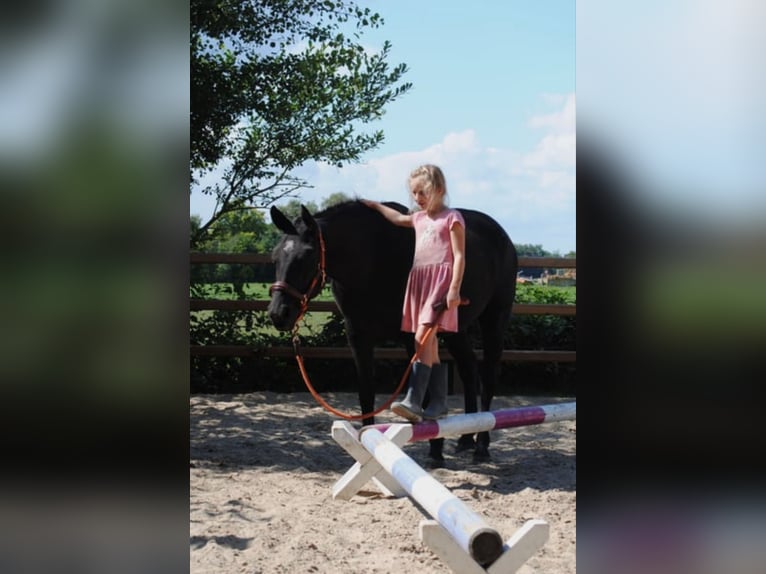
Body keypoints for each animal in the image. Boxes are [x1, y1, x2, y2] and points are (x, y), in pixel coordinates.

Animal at [268, 200, 518, 463]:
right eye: (275, 256)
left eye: (307, 255)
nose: (279, 313)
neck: (373, 260)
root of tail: (502, 236)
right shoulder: (358, 337)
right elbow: (366, 391)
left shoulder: (412, 337)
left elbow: (422, 389)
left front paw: (435, 451)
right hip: (455, 330)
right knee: (468, 369)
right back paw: (466, 438)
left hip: (494, 320)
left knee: (487, 377)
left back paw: (481, 446)